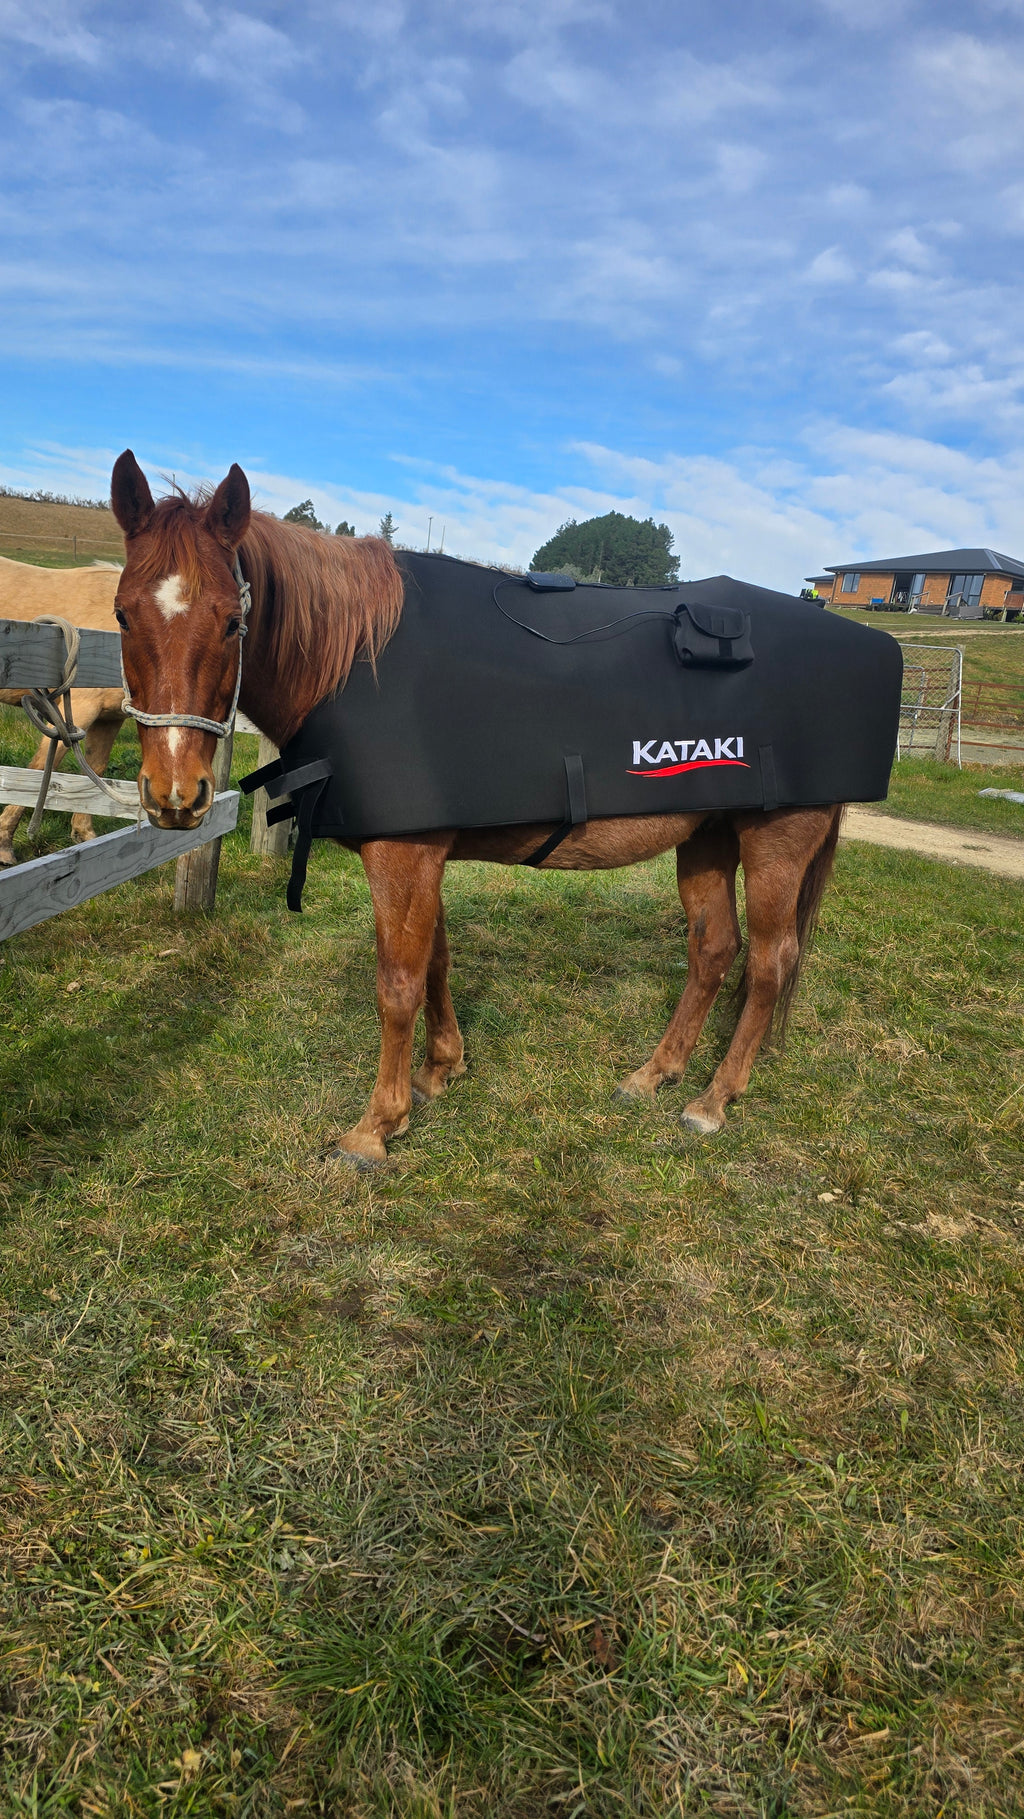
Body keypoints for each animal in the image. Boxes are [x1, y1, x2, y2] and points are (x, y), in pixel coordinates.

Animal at [0, 555, 128, 867]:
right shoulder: (78, 710)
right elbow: (40, 768)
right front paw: (4, 844)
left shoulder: (109, 719)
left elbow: (95, 769)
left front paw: (85, 834)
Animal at [109, 450, 844, 1168]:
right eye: (120, 613)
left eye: (233, 620)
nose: (175, 794)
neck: (352, 657)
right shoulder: (423, 851)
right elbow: (435, 961)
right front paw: (440, 1070)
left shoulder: (403, 856)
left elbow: (398, 985)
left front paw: (376, 1126)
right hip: (708, 835)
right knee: (713, 949)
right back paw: (655, 1073)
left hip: (777, 843)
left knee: (770, 962)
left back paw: (714, 1099)